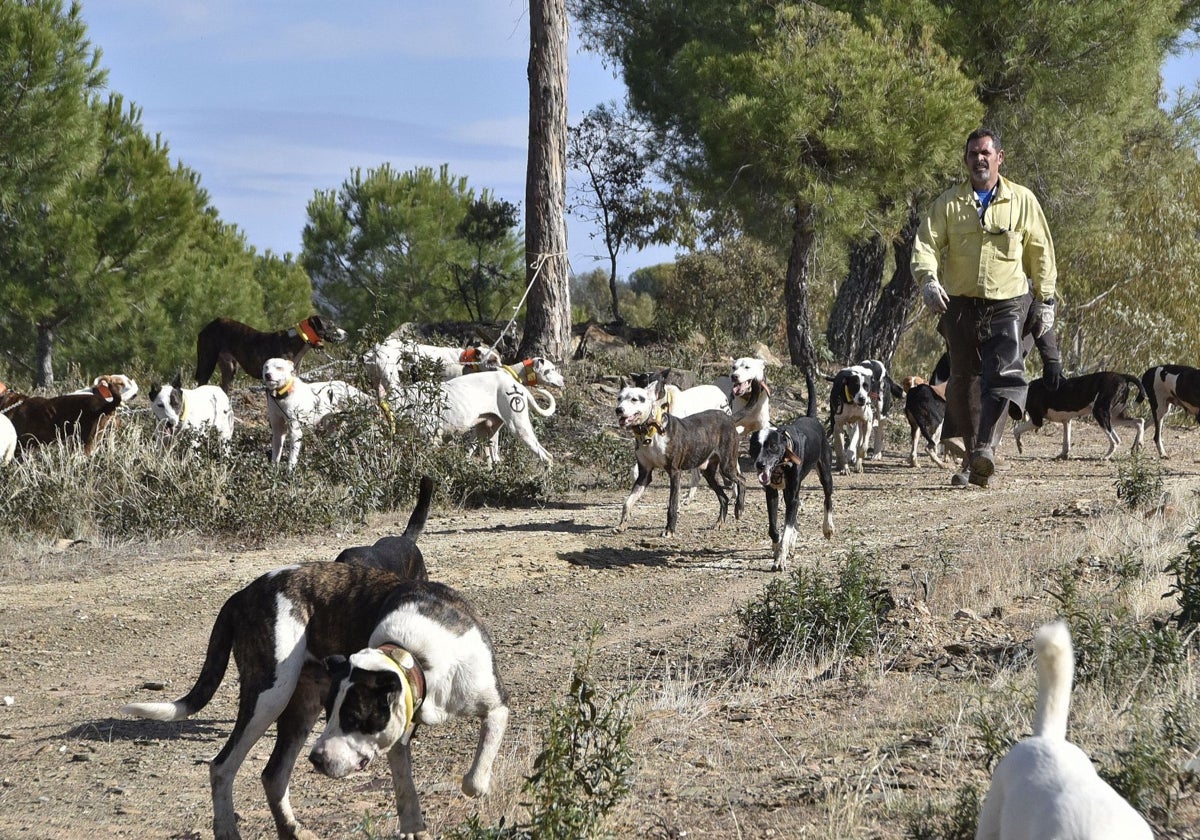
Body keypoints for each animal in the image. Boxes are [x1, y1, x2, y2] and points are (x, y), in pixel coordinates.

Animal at [121, 561, 511, 840]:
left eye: (354, 718)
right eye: (333, 716)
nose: (317, 760)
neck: (414, 655)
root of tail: (243, 593)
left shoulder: (495, 706)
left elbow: (471, 778)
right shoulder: (397, 733)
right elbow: (420, 791)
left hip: (299, 708)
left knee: (273, 774)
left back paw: (290, 830)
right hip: (270, 696)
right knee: (222, 767)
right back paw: (228, 830)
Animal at [194, 314, 348, 393]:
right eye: (332, 326)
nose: (346, 334)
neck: (298, 339)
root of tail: (207, 327)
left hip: (229, 368)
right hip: (207, 362)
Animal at [614, 379, 744, 535]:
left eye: (635, 399)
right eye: (619, 398)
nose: (618, 410)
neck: (651, 432)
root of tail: (728, 417)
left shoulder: (674, 472)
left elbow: (672, 505)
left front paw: (669, 529)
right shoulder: (644, 474)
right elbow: (628, 502)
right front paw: (622, 523)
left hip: (726, 467)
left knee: (742, 480)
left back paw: (739, 508)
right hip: (708, 473)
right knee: (723, 498)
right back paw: (720, 522)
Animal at [748, 374, 835, 571]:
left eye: (772, 446)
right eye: (755, 446)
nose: (760, 465)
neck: (782, 464)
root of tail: (811, 417)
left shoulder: (793, 493)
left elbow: (786, 530)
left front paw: (781, 558)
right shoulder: (771, 493)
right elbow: (774, 528)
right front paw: (777, 548)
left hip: (825, 474)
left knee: (827, 499)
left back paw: (828, 527)